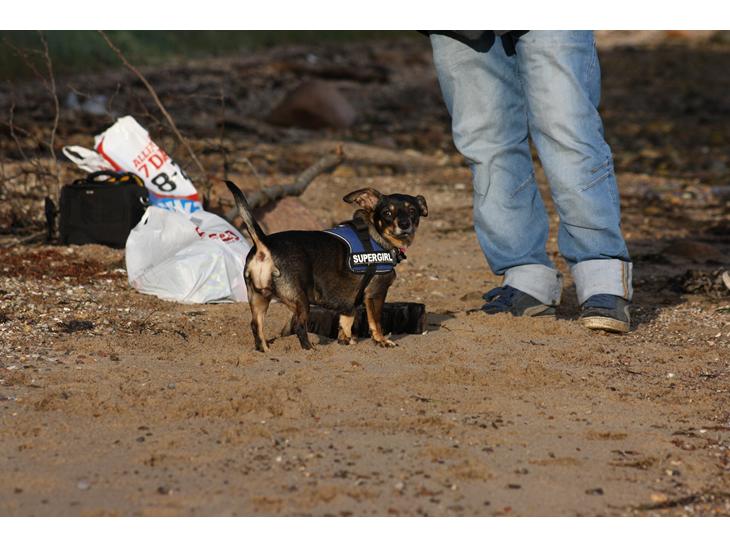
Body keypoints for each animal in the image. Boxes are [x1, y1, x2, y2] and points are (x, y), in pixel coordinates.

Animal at [225, 181, 428, 352]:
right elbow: (376, 322)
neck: (376, 236)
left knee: (256, 326)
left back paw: (265, 350)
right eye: (387, 213)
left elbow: (346, 321)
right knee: (299, 326)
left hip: (259, 298)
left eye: (412, 211)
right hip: (300, 301)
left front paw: (346, 340)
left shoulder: (349, 302)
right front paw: (382, 341)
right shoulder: (376, 293)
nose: (405, 224)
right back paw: (310, 350)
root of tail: (264, 244)